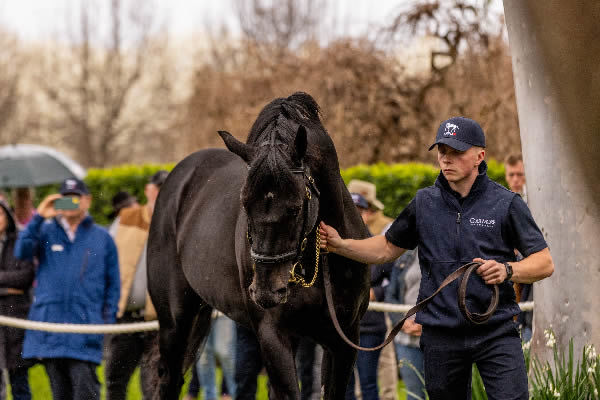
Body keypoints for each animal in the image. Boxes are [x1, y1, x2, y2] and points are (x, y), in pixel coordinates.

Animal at [147, 92, 368, 398]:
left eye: (295, 207)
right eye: (245, 204)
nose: (266, 291)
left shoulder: (343, 340)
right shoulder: (272, 334)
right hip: (175, 321)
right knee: (170, 379)